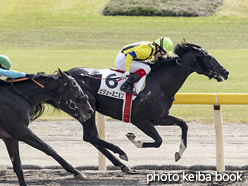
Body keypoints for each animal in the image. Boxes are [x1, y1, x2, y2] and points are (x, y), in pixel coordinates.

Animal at [68, 40, 229, 171]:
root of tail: (66, 73)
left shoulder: (159, 118)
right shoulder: (141, 121)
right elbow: (158, 141)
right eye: (208, 56)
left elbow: (183, 124)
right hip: (87, 109)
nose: (225, 72)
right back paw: (121, 156)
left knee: (92, 137)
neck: (160, 83)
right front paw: (135, 140)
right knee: (90, 136)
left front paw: (179, 152)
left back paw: (122, 164)